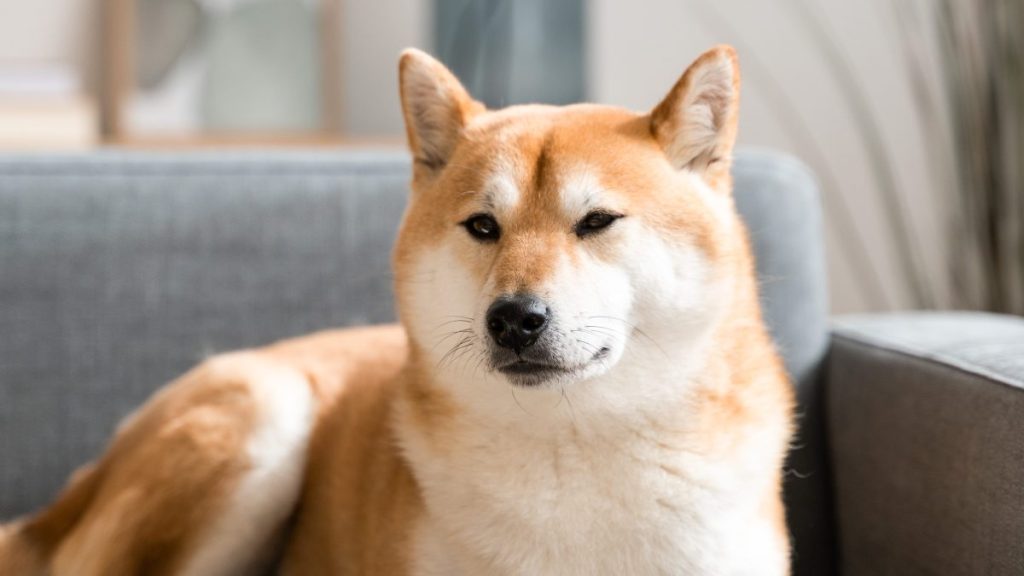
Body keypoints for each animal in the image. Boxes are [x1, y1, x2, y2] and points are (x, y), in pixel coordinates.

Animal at [0, 45, 790, 573]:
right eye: (483, 226)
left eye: (597, 221)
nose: (514, 318)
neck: (575, 444)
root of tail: (68, 499)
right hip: (263, 414)